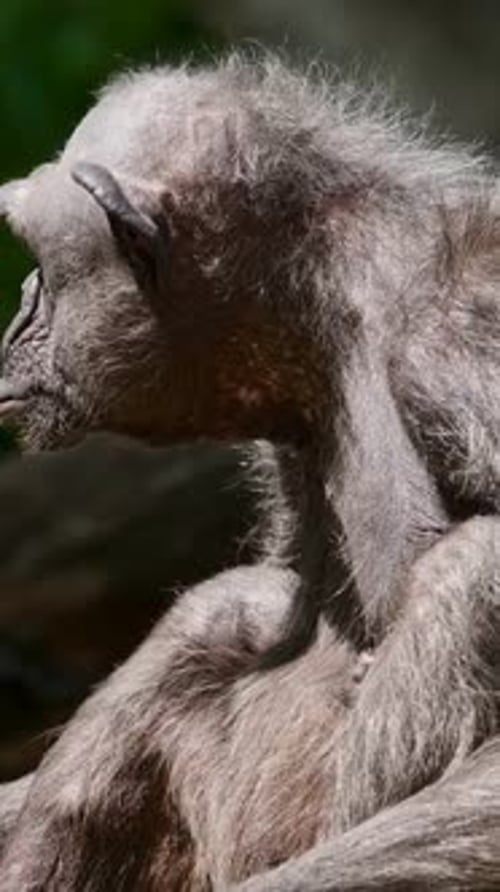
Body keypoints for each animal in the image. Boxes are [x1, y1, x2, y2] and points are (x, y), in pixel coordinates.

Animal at [0, 52, 499, 888]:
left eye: (40, 257)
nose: (20, 308)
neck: (317, 295)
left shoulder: (465, 348)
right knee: (216, 615)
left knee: (469, 571)